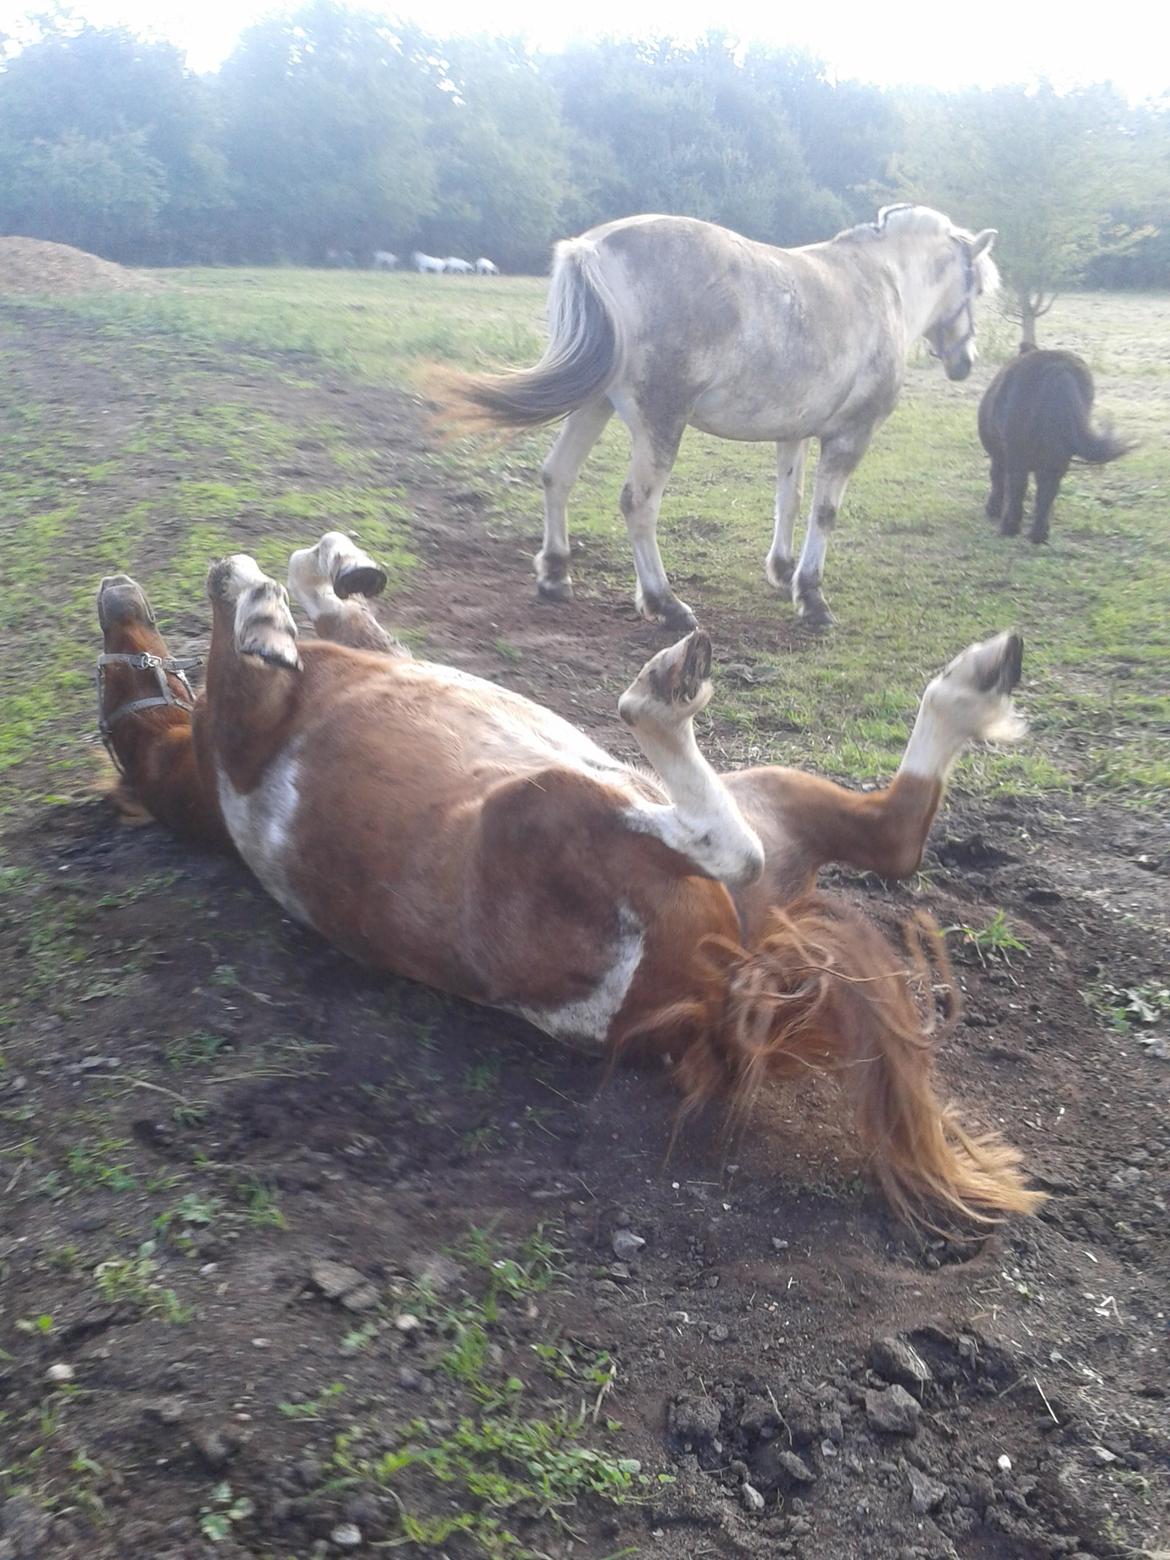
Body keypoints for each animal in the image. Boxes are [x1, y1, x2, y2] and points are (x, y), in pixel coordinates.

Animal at [93, 536, 1042, 1229]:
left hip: (754, 795)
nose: (116, 593)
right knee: (743, 840)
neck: (207, 777)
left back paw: (973, 681)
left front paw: (332, 565)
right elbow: (251, 608)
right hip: (553, 806)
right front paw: (257, 602)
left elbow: (320, 589)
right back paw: (665, 690)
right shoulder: (249, 716)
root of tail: (715, 984)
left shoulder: (360, 657)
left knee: (891, 832)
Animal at [443, 204, 1004, 630]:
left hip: (593, 404)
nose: (965, 362)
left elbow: (789, 500)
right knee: (638, 504)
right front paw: (811, 597)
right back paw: (665, 603)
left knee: (557, 475)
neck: (881, 283)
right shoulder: (850, 436)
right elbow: (824, 513)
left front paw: (782, 571)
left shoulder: (795, 432)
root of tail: (593, 249)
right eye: (975, 290)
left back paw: (556, 575)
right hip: (660, 423)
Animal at [979, 346, 1135, 542]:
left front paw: (993, 509)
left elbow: (997, 478)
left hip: (1019, 454)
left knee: (1018, 486)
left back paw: (1010, 528)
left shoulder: (1000, 456)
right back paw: (1039, 534)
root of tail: (1060, 368)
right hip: (1057, 458)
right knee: (1047, 492)